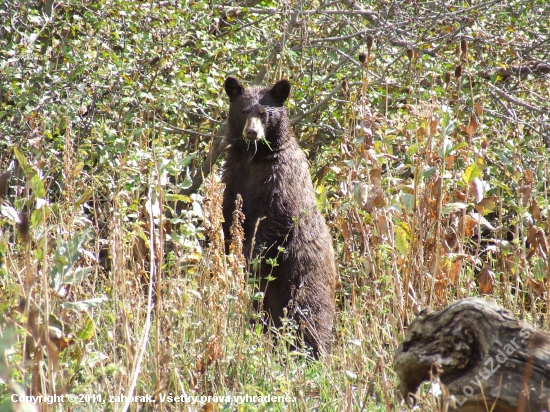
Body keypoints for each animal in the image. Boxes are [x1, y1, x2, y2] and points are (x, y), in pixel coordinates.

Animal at [223, 77, 336, 358]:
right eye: (244, 111)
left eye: (265, 113)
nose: (252, 132)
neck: (254, 157)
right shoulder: (234, 176)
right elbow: (228, 211)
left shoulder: (280, 177)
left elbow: (277, 217)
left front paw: (249, 255)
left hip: (304, 275)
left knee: (310, 314)